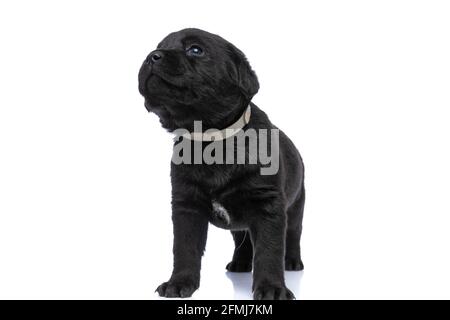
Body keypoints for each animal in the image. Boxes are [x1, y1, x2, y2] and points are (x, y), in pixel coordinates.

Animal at [138, 28, 306, 300]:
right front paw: (179, 282)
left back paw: (291, 261)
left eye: (195, 50)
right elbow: (184, 249)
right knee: (243, 240)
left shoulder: (268, 207)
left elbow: (269, 251)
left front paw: (271, 288)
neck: (212, 142)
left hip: (296, 205)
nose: (152, 56)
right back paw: (240, 263)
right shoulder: (187, 207)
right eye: (159, 45)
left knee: (292, 235)